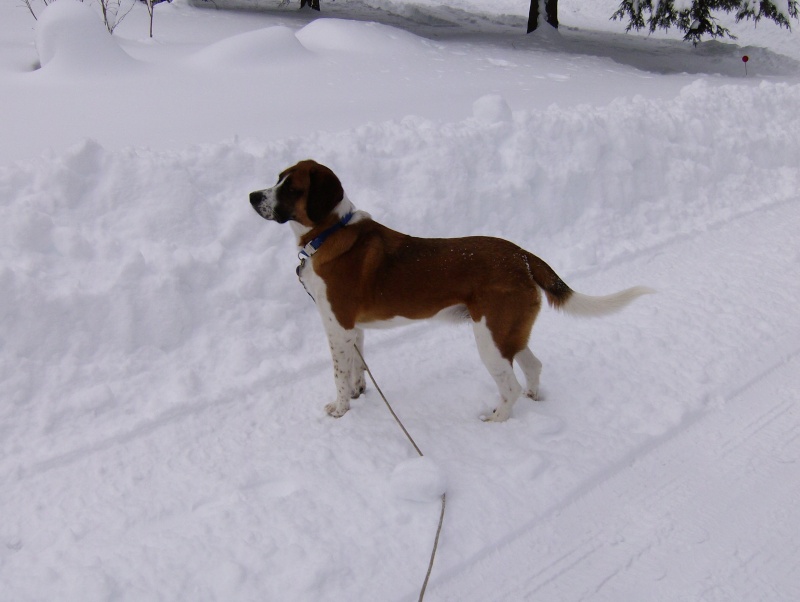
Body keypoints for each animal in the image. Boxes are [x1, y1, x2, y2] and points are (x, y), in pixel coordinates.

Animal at [250, 161, 648, 422]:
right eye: (277, 178)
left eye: (290, 187)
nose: (253, 195)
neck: (330, 231)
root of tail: (522, 256)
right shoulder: (353, 330)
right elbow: (356, 369)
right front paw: (358, 393)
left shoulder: (336, 327)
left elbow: (338, 374)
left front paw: (340, 409)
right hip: (508, 333)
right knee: (533, 366)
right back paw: (534, 396)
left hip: (490, 340)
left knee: (510, 386)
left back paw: (496, 418)